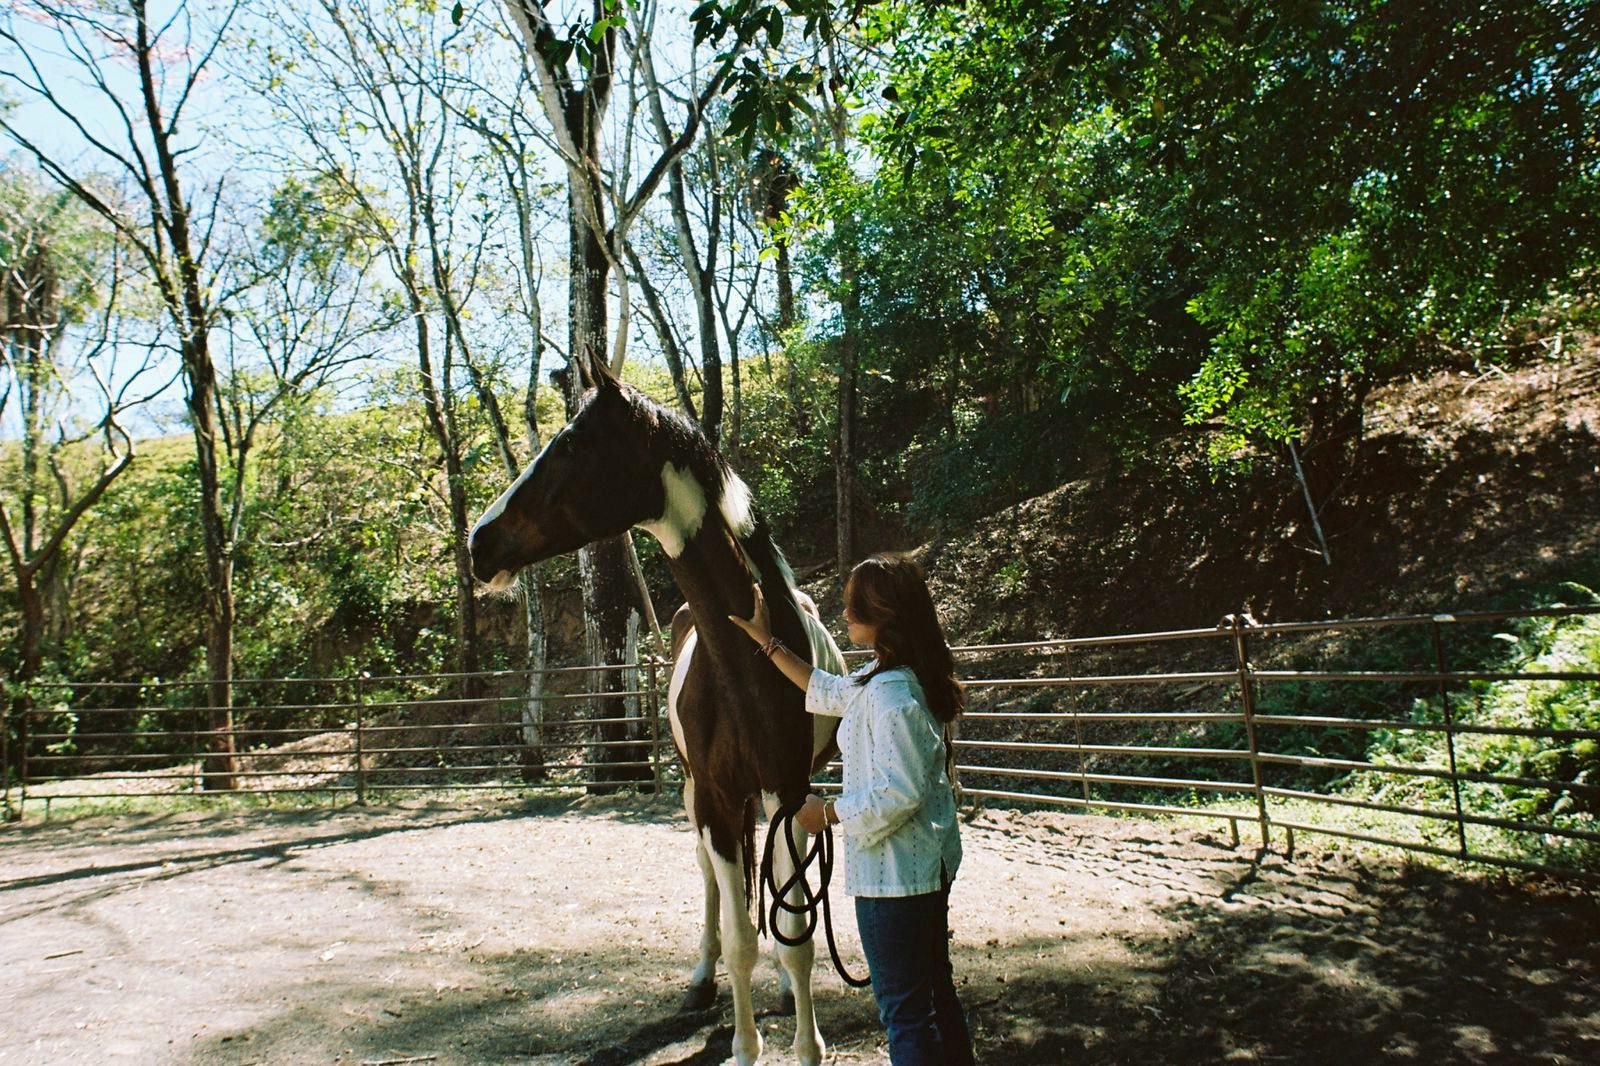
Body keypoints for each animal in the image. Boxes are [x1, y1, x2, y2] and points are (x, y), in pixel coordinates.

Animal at [468, 357, 846, 1066]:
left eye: (571, 446)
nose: (480, 543)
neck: (748, 667)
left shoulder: (788, 793)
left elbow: (797, 930)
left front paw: (806, 1041)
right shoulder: (717, 799)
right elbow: (740, 937)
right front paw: (745, 1045)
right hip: (700, 794)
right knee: (711, 883)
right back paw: (701, 980)